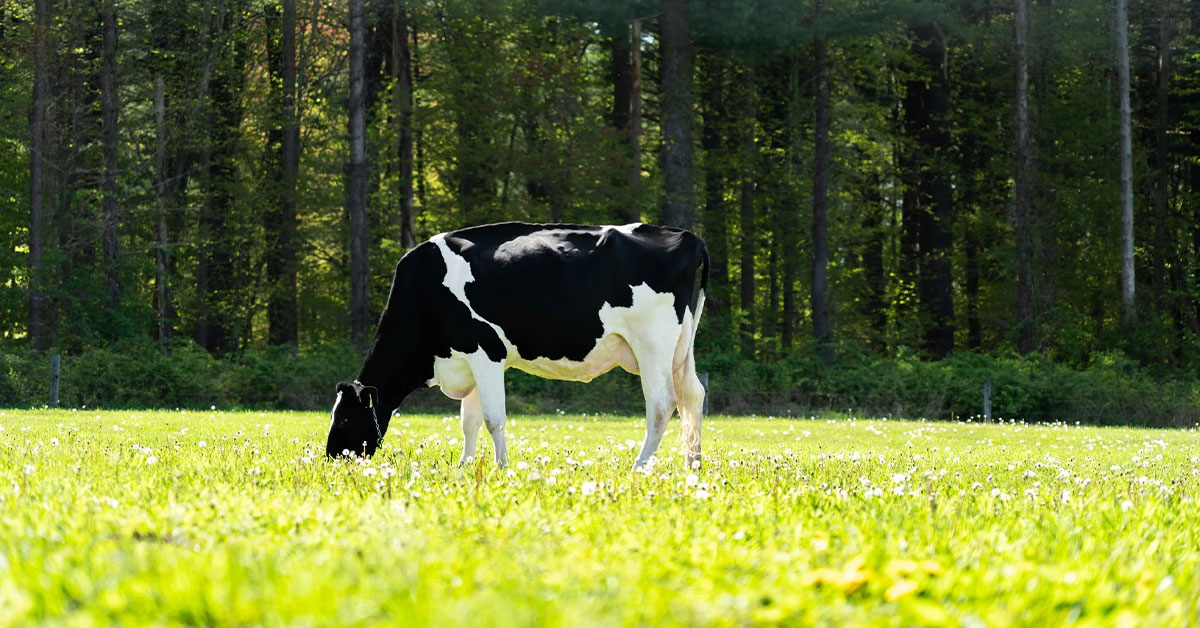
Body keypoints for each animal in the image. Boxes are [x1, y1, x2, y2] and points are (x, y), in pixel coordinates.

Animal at [326, 221, 708, 470]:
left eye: (344, 417)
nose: (331, 456)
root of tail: (686, 236)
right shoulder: (469, 358)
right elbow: (469, 420)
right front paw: (464, 466)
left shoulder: (484, 350)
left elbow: (492, 418)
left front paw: (501, 467)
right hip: (682, 348)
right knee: (693, 396)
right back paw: (692, 467)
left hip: (652, 342)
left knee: (662, 404)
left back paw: (638, 468)